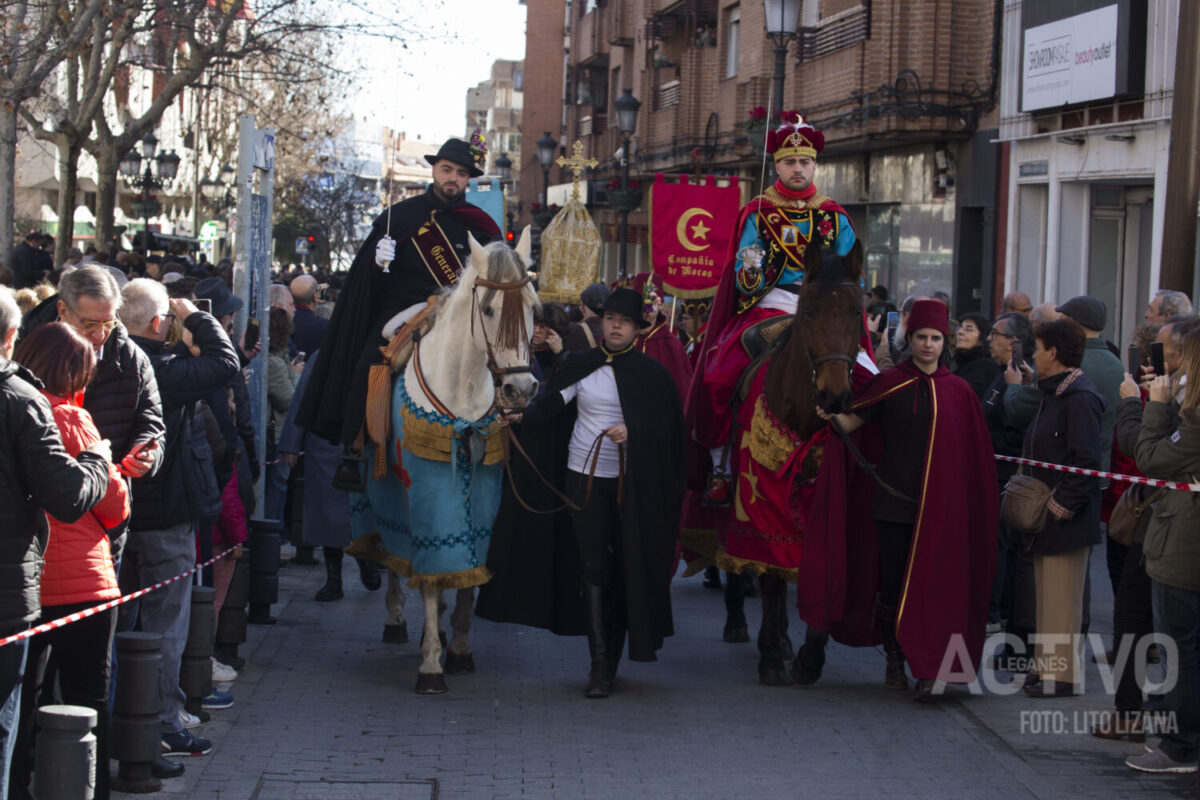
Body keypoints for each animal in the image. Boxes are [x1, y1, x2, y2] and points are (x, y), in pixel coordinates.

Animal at [350, 226, 540, 695]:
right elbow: (432, 580)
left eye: (533, 307)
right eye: (488, 309)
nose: (520, 391)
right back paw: (397, 618)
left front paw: (459, 649)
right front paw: (431, 664)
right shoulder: (429, 495)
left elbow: (468, 576)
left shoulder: (483, 496)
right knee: (391, 554)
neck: (463, 393)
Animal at [720, 239, 864, 690]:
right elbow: (768, 576)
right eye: (810, 312)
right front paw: (770, 658)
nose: (835, 396)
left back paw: (785, 639)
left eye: (857, 312)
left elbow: (819, 567)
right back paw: (739, 621)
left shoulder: (830, 494)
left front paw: (808, 655)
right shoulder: (760, 493)